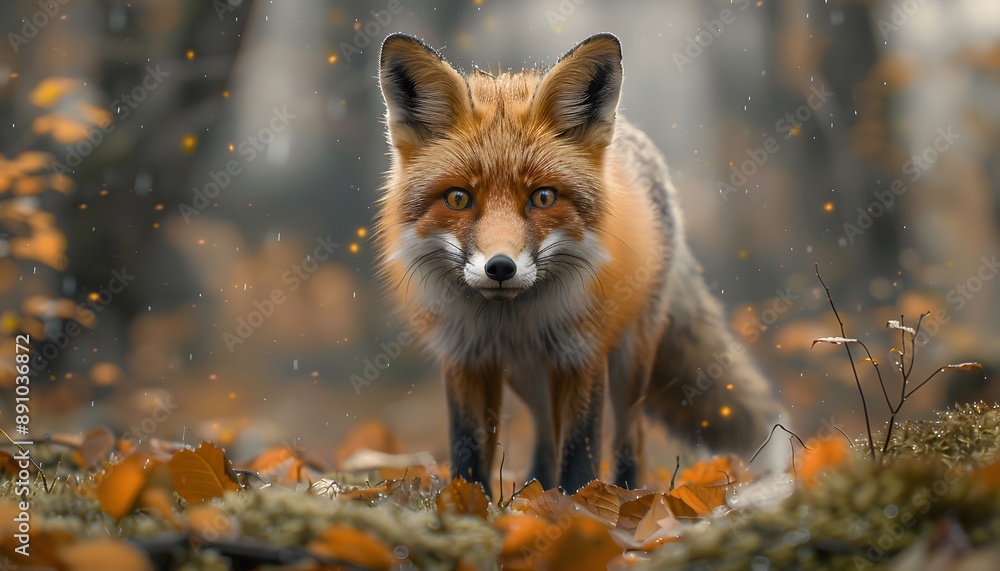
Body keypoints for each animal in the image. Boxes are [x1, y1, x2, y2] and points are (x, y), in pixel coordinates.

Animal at [375, 32, 784, 495]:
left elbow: (580, 450)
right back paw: (534, 491)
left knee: (630, 433)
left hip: (629, 360)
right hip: (528, 378)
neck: (513, 321)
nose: (500, 268)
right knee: (543, 434)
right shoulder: (466, 357)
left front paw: (578, 507)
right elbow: (469, 450)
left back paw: (625, 494)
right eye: (458, 198)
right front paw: (469, 503)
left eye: (543, 197)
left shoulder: (583, 352)